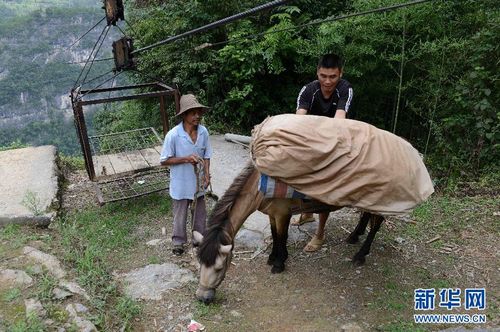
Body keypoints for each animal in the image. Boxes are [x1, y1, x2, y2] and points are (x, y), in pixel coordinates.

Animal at [193, 161, 384, 304]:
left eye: (219, 268)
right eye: (200, 263)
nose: (202, 298)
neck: (261, 185)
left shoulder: (282, 214)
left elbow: (281, 236)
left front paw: (279, 263)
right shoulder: (272, 214)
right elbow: (274, 234)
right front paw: (273, 258)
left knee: (376, 223)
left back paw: (361, 254)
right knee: (366, 215)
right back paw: (354, 236)